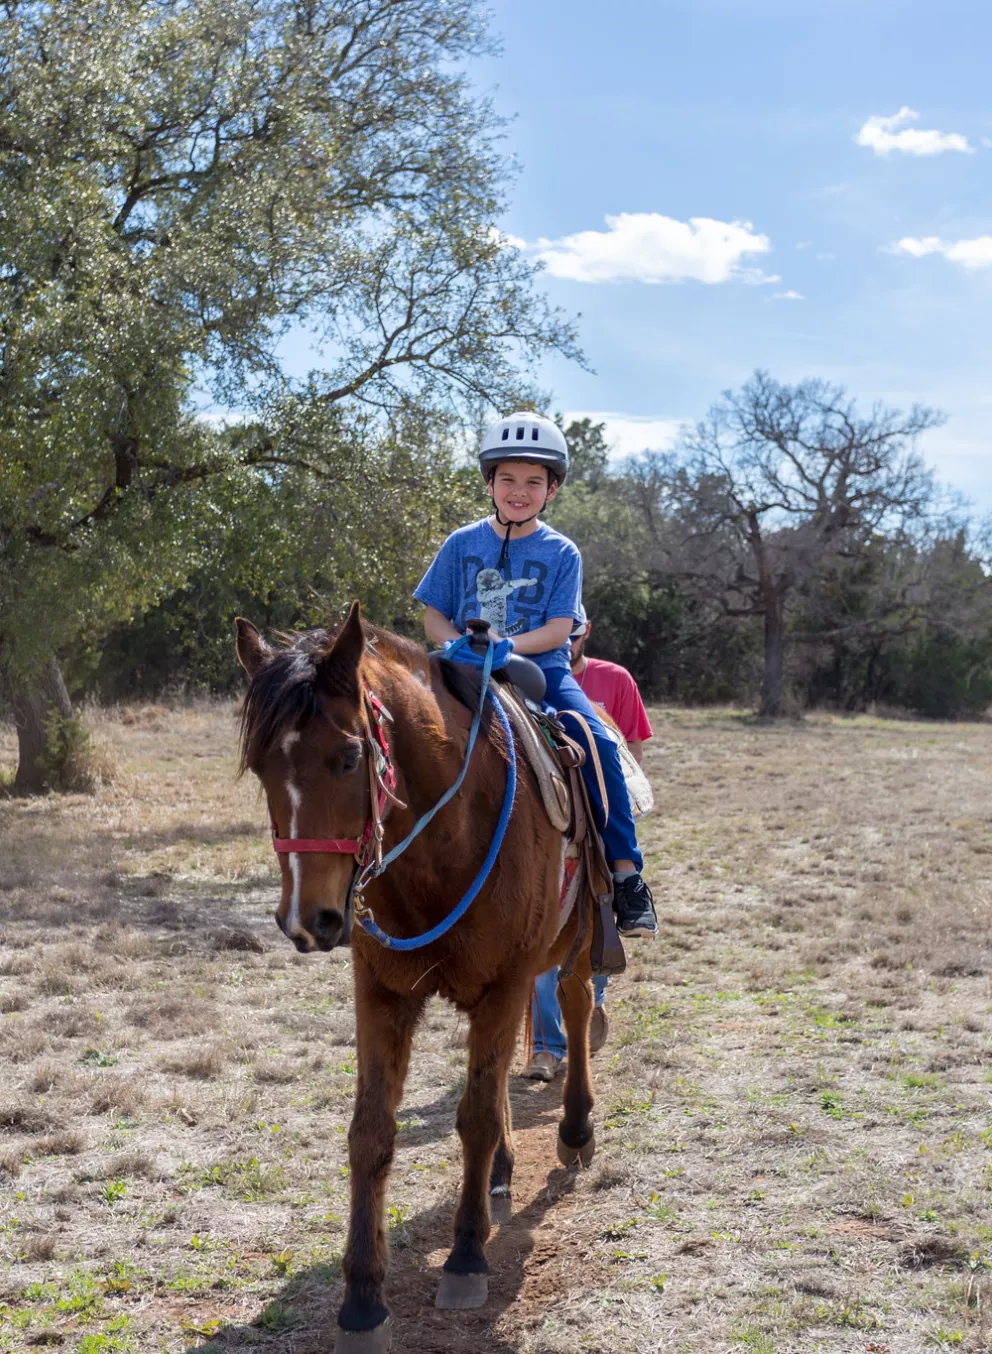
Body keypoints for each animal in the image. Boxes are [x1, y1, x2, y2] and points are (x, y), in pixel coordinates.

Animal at [235, 606, 595, 1354]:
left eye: (348, 757)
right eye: (260, 767)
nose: (306, 919)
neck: (444, 839)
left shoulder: (506, 982)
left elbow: (476, 1117)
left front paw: (466, 1257)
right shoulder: (382, 993)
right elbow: (371, 1133)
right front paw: (362, 1300)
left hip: (574, 944)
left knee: (575, 1010)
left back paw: (575, 1128)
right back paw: (503, 1172)